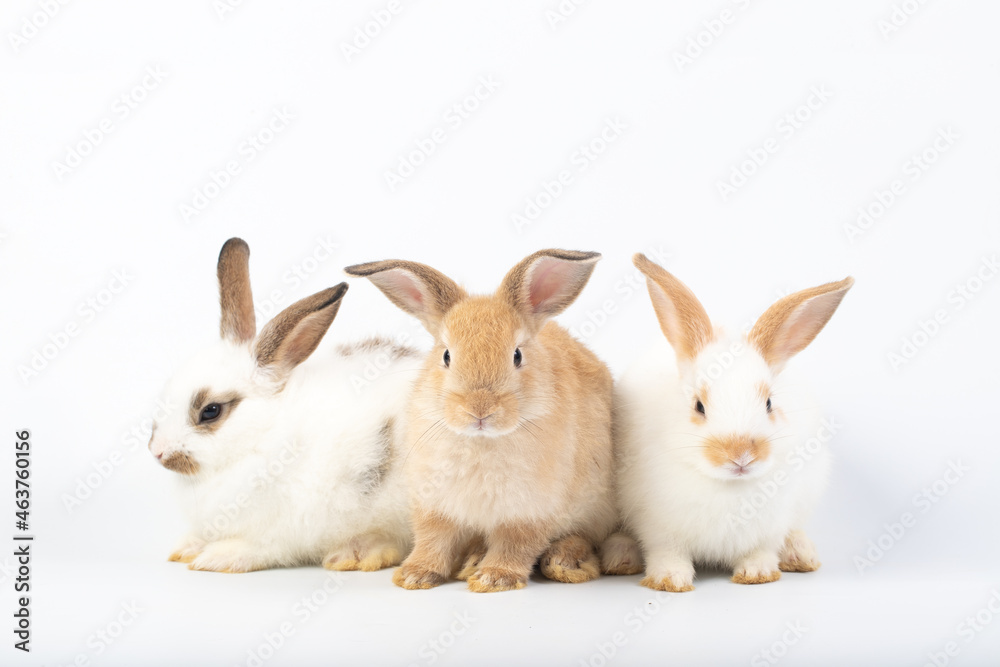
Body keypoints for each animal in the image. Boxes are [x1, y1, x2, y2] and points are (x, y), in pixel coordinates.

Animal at [147, 238, 422, 573]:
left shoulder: (282, 530)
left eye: (210, 411)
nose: (157, 451)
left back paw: (358, 553)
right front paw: (187, 548)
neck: (262, 435)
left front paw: (218, 557)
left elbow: (262, 548)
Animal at [344, 250, 617, 592]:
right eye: (446, 355)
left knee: (582, 536)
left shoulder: (528, 512)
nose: (480, 410)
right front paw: (415, 575)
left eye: (517, 355)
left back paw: (563, 562)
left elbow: (515, 544)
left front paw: (494, 578)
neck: (481, 441)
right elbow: (433, 539)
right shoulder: (434, 505)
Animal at [606, 253, 853, 591]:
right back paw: (620, 557)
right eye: (698, 406)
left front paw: (758, 574)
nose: (741, 456)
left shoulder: (771, 528)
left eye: (769, 403)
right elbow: (667, 552)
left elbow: (761, 551)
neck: (729, 487)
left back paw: (801, 554)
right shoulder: (658, 527)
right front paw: (670, 580)